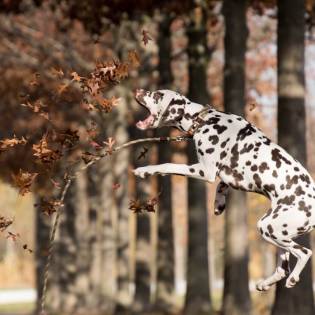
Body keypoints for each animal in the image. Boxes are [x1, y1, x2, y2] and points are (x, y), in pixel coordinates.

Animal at [133, 88, 315, 292]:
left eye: (157, 95)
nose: (138, 90)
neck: (204, 120)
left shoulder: (205, 170)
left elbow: (168, 165)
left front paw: (144, 170)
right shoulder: (227, 175)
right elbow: (222, 185)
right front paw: (218, 204)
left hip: (269, 227)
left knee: (305, 252)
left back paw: (293, 278)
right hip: (277, 233)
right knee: (283, 268)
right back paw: (264, 283)